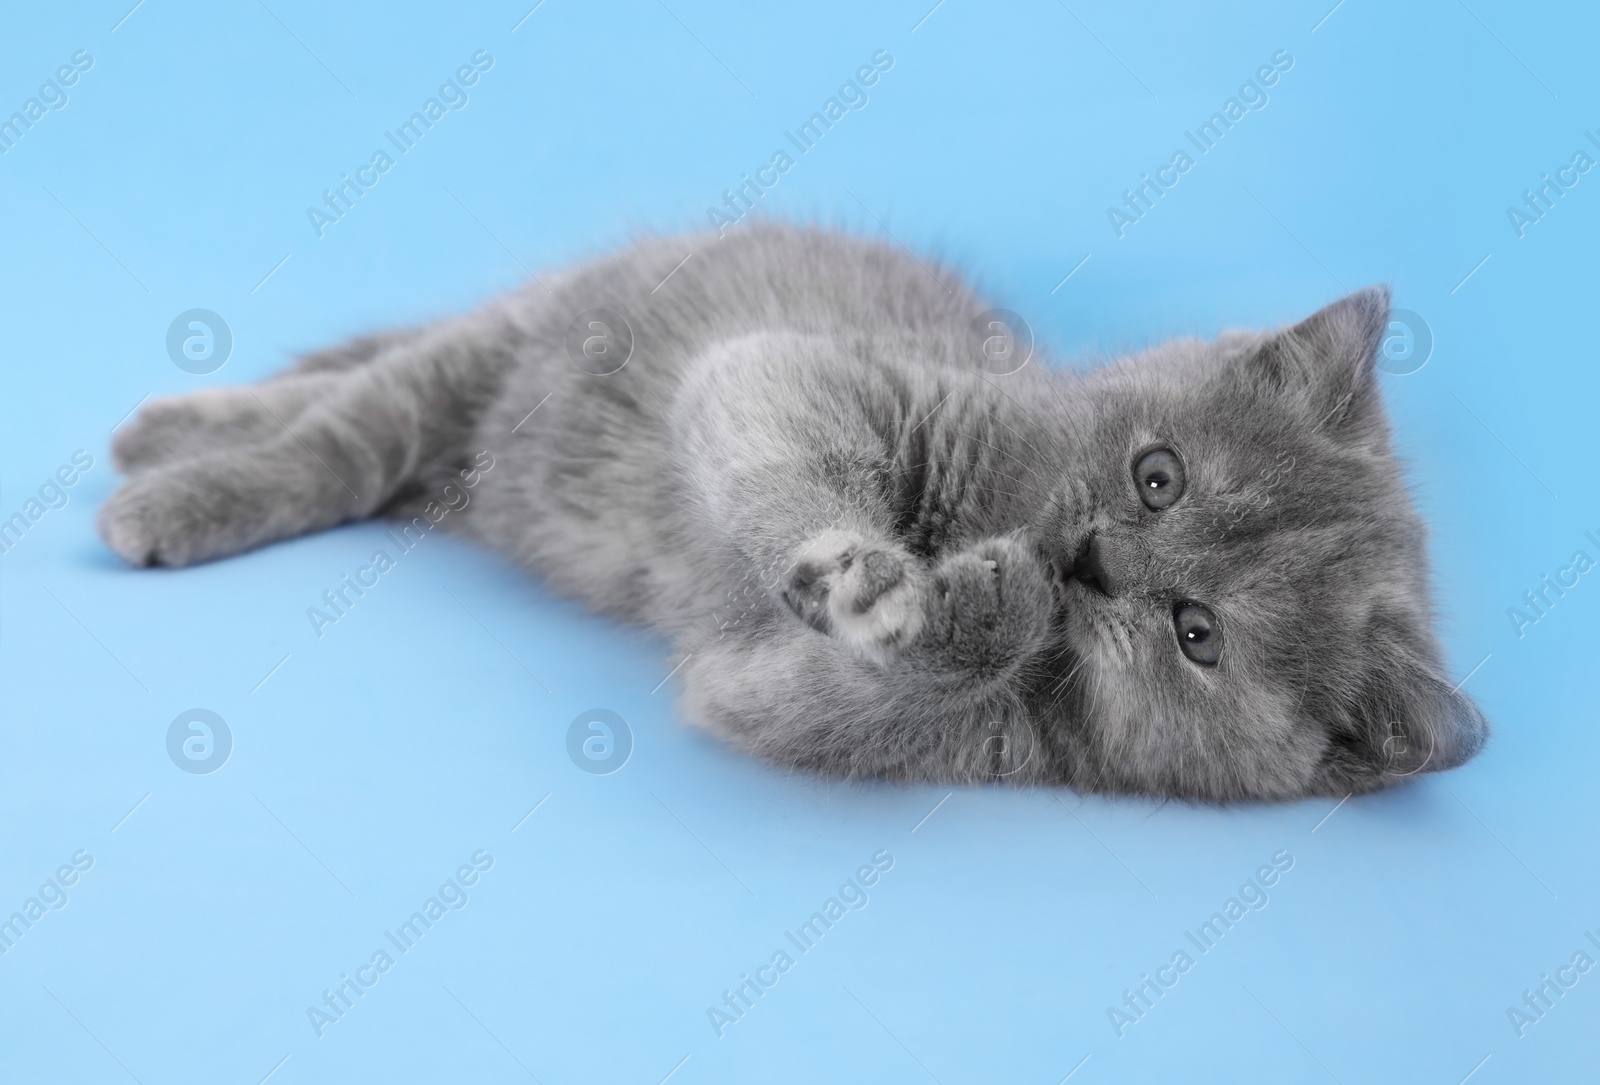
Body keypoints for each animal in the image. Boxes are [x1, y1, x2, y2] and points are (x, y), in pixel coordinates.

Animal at [103, 222, 1484, 800]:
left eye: (1197, 632)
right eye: (1160, 474)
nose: (1089, 558)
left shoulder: (823, 706)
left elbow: (832, 690)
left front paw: (982, 603)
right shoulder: (816, 374)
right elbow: (786, 433)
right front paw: (871, 572)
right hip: (504, 353)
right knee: (344, 423)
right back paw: (163, 464)